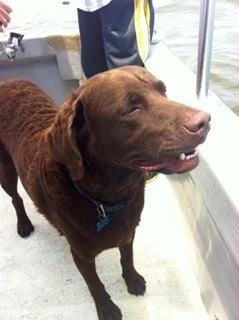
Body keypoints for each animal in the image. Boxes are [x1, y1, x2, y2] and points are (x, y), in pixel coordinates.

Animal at [0, 66, 209, 318]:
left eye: (163, 90)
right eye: (131, 109)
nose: (205, 121)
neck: (108, 198)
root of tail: (8, 82)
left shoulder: (128, 233)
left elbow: (127, 259)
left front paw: (132, 280)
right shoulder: (81, 255)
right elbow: (95, 284)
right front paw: (107, 308)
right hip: (5, 171)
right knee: (15, 198)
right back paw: (23, 224)